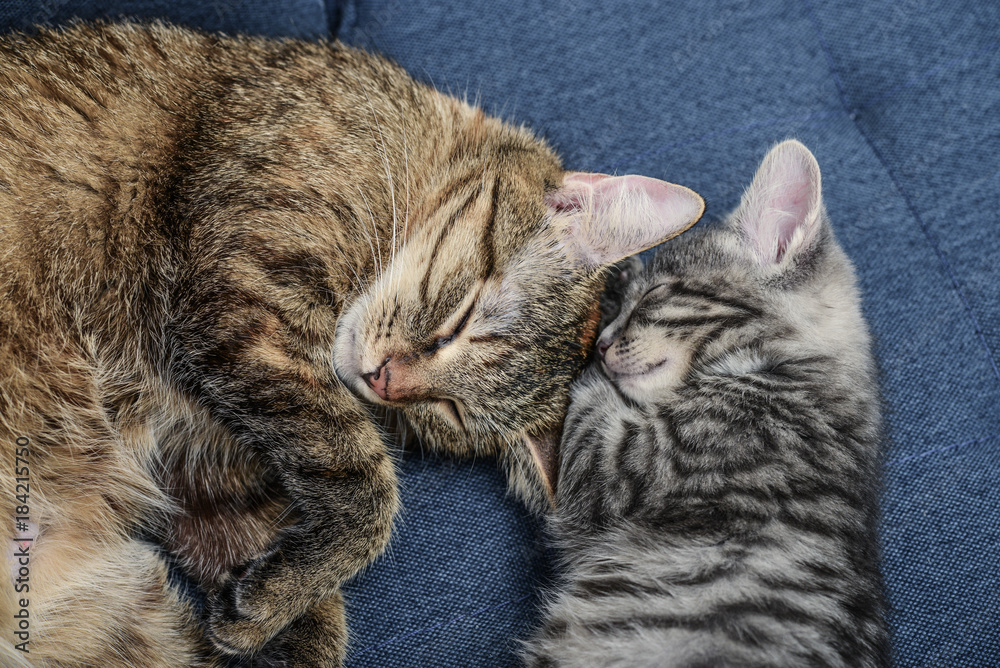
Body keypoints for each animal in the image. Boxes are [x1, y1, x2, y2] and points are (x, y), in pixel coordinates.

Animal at [0, 18, 704, 664]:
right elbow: (368, 485)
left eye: (447, 411)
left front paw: (270, 609)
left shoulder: (203, 463)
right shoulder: (244, 291)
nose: (384, 380)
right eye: (462, 320)